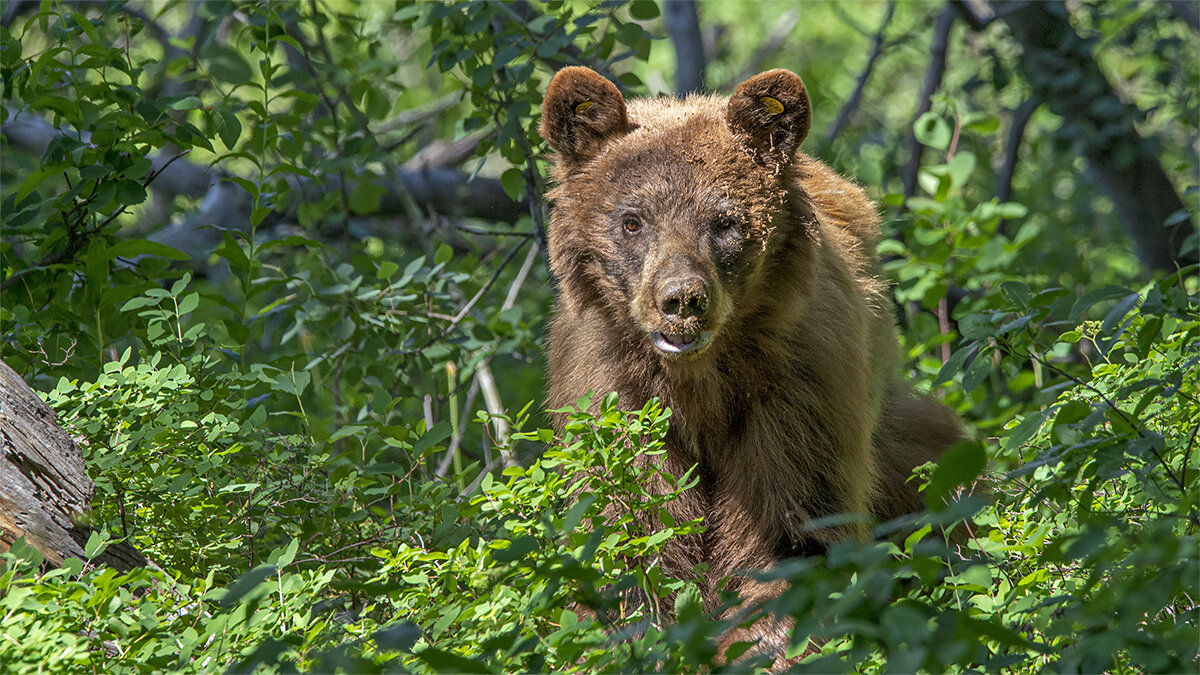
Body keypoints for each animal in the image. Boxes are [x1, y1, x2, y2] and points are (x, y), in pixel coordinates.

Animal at [540, 66, 960, 658]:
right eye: (632, 221)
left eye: (725, 220)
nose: (682, 300)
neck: (701, 381)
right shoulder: (616, 395)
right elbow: (635, 529)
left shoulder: (794, 386)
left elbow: (790, 530)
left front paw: (763, 642)